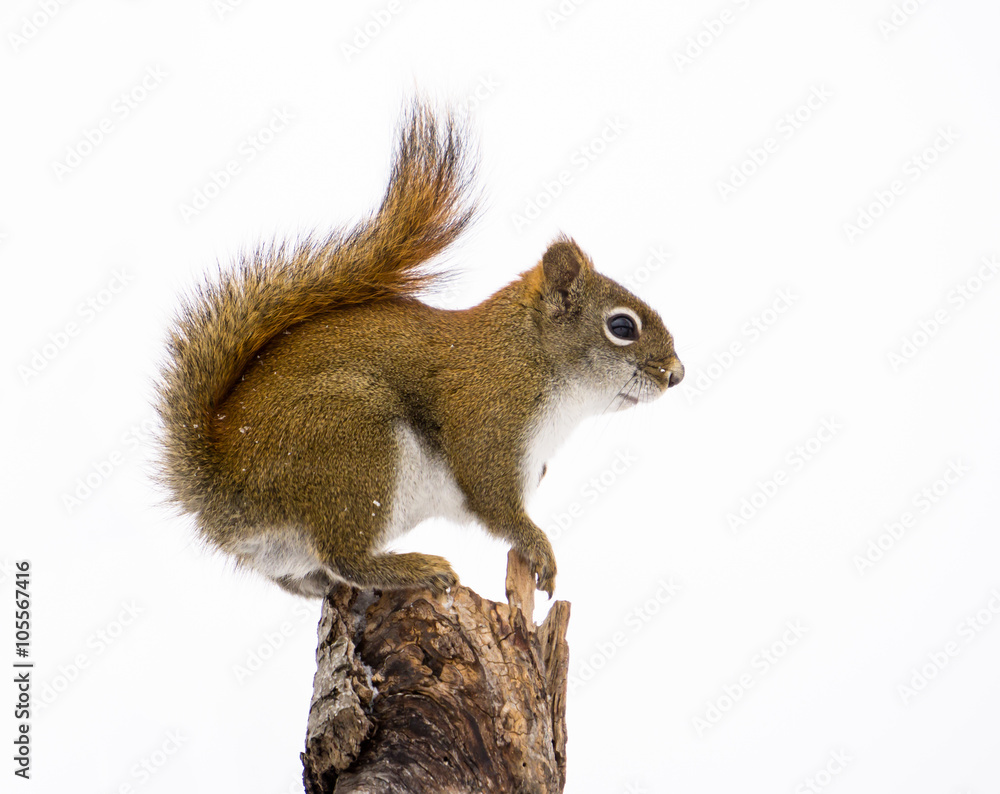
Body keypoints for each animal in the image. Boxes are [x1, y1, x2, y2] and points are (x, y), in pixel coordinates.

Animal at [155, 103, 684, 599]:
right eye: (622, 326)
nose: (676, 374)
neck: (530, 357)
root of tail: (225, 486)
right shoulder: (488, 423)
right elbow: (496, 504)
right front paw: (539, 547)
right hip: (353, 444)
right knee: (345, 555)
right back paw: (415, 568)